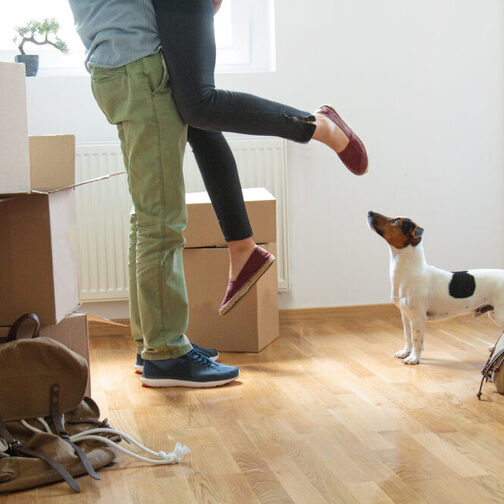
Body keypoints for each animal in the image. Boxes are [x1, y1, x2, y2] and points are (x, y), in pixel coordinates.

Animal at [366, 211, 504, 364]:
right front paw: (405, 352)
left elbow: (416, 339)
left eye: (396, 221)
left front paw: (414, 358)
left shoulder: (417, 317)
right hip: (494, 314)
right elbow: (408, 337)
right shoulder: (405, 315)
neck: (409, 271)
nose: (370, 212)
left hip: (500, 314)